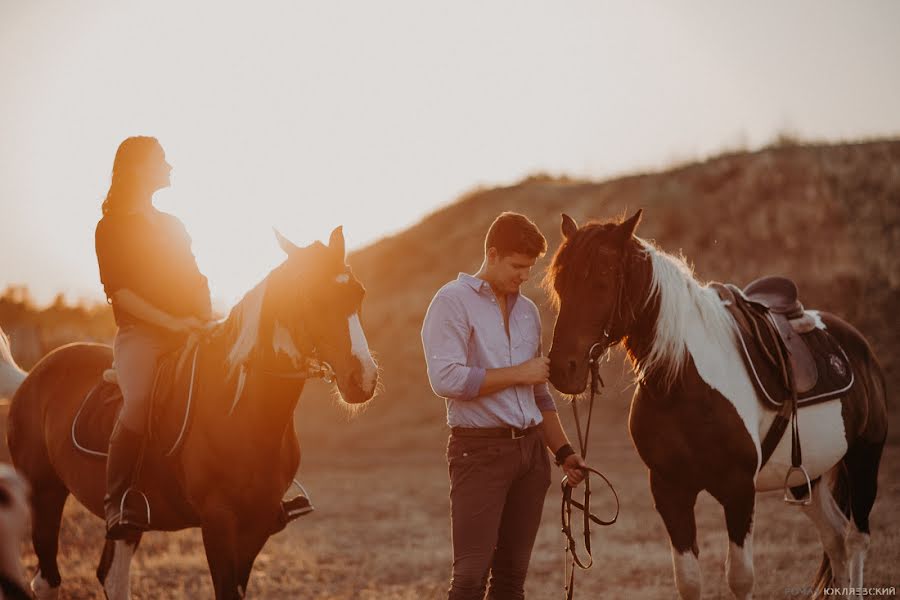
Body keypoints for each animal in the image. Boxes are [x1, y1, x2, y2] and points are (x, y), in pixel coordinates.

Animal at [2, 226, 380, 600]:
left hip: (125, 522)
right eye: (311, 297)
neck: (241, 411)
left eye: (359, 294)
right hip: (44, 494)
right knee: (47, 580)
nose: (363, 379)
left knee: (111, 575)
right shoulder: (218, 522)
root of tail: (33, 374)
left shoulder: (256, 525)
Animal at [544, 211, 888, 600]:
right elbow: (689, 581)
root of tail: (854, 341)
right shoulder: (669, 491)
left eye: (601, 281)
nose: (562, 370)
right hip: (807, 477)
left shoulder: (738, 492)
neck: (681, 385)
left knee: (855, 538)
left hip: (864, 457)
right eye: (559, 284)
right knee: (834, 539)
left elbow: (740, 578)